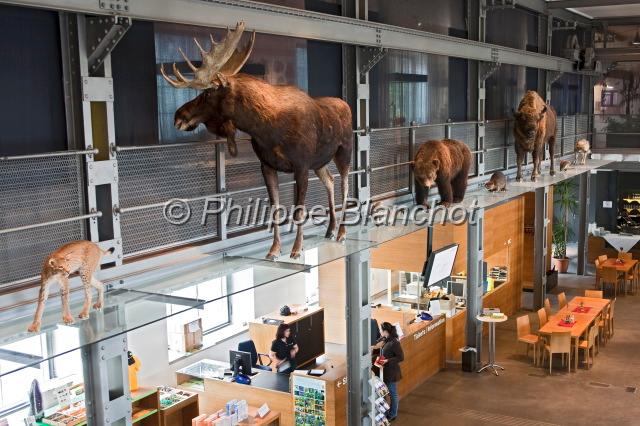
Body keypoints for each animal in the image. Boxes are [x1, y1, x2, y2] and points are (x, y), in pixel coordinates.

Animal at [159, 21, 350, 260]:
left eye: (207, 94)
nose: (178, 116)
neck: (266, 128)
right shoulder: (267, 165)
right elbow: (275, 209)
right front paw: (274, 250)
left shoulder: (301, 165)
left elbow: (298, 210)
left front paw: (296, 249)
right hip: (320, 162)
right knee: (330, 181)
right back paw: (330, 229)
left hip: (344, 151)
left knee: (345, 184)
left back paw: (342, 231)